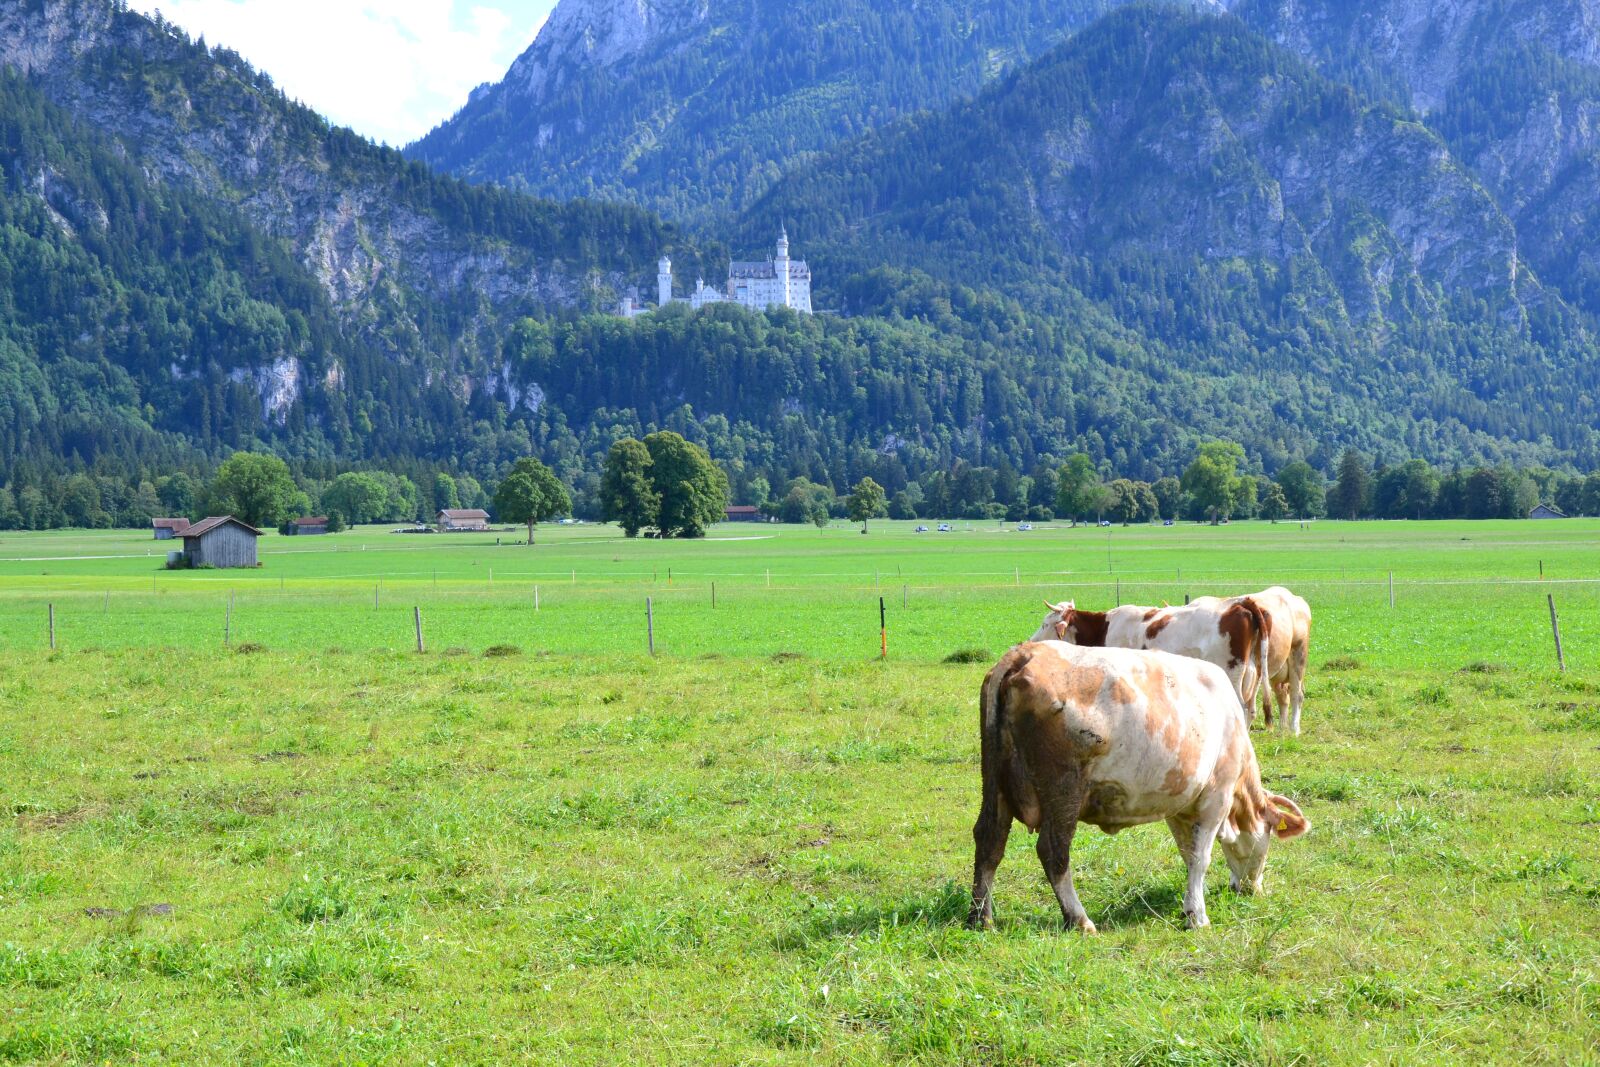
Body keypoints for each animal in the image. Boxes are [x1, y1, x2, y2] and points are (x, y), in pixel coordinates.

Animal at [968, 642, 1309, 932]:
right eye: (1268, 838)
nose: (1254, 889)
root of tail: (1023, 654)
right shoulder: (1216, 796)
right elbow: (1201, 857)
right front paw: (1198, 916)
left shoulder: (1179, 805)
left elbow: (1188, 854)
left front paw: (1189, 904)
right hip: (1064, 791)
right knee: (1053, 851)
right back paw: (1079, 920)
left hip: (995, 784)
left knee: (989, 840)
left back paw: (981, 918)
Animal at [1031, 597, 1272, 717]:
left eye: (1045, 624)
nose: (1030, 641)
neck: (1105, 628)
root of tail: (1239, 604)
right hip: (1252, 675)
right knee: (1251, 710)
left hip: (1232, 674)